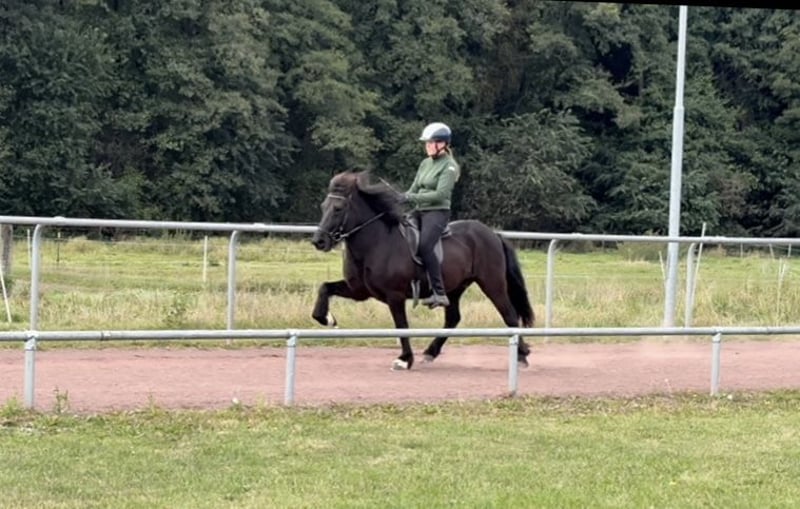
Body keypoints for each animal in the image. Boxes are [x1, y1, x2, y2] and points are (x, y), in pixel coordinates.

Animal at [310, 170, 535, 370]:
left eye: (338, 208)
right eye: (323, 206)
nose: (318, 241)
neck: (377, 243)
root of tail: (493, 234)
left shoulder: (395, 296)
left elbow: (401, 326)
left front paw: (404, 359)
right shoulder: (358, 291)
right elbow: (325, 288)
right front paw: (326, 318)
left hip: (492, 284)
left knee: (510, 315)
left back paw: (522, 356)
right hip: (454, 288)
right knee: (453, 319)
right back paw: (430, 352)